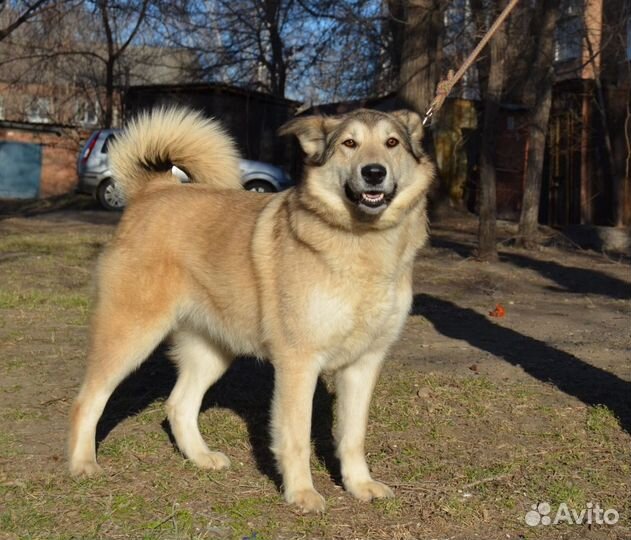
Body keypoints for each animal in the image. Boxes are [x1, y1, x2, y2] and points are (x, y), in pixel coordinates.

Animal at [68, 106, 434, 516]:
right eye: (349, 143)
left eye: (392, 142)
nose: (374, 172)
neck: (363, 243)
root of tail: (156, 189)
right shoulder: (298, 364)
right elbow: (296, 437)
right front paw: (301, 493)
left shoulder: (364, 364)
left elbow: (352, 436)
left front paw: (359, 485)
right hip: (130, 335)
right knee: (88, 401)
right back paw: (83, 464)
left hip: (211, 350)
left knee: (179, 405)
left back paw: (202, 458)